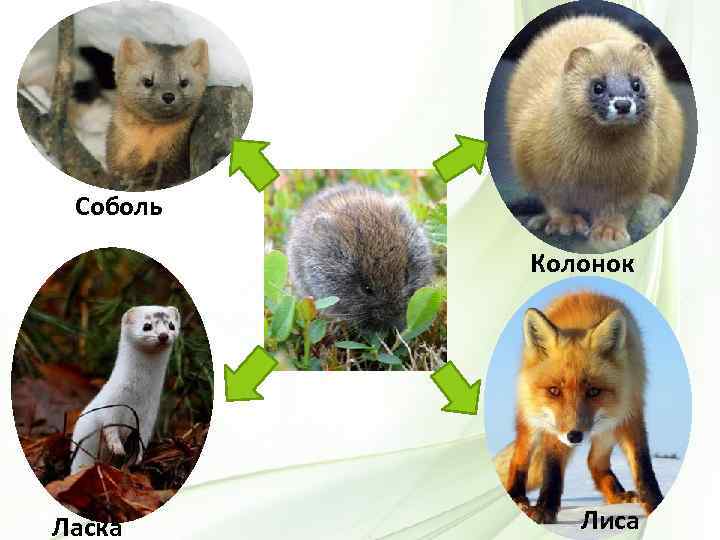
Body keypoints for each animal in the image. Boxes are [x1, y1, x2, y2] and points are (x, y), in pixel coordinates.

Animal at [494, 291, 663, 524]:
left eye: (593, 391)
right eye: (554, 391)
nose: (574, 436)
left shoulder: (631, 412)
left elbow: (643, 467)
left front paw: (655, 505)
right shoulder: (555, 429)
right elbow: (552, 470)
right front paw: (545, 509)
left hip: (608, 428)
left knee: (594, 462)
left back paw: (616, 495)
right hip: (532, 421)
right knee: (518, 460)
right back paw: (517, 498)